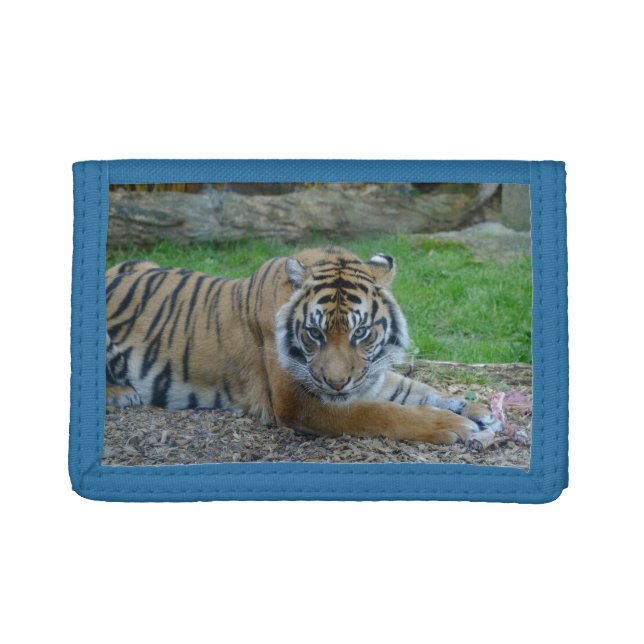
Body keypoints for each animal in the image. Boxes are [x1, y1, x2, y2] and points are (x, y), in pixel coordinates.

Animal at [105, 247, 501, 448]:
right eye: (314, 333)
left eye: (361, 333)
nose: (337, 384)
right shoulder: (297, 402)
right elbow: (381, 412)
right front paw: (455, 425)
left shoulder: (368, 373)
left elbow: (416, 390)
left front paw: (478, 411)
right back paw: (121, 393)